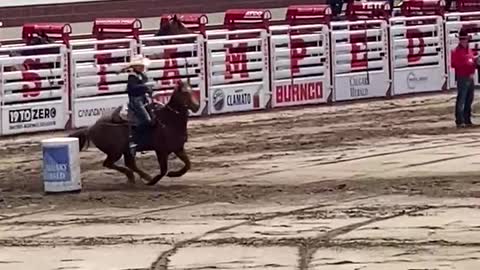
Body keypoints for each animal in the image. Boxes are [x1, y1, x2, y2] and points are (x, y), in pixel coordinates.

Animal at [68, 80, 200, 186]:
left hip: (126, 151)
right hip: (115, 152)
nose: (196, 106)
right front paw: (153, 181)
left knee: (130, 164)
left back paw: (140, 176)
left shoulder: (178, 148)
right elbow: (163, 170)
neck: (169, 120)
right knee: (109, 163)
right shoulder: (161, 150)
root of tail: (92, 127)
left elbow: (188, 164)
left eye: (192, 91)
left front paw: (174, 174)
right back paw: (139, 176)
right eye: (184, 93)